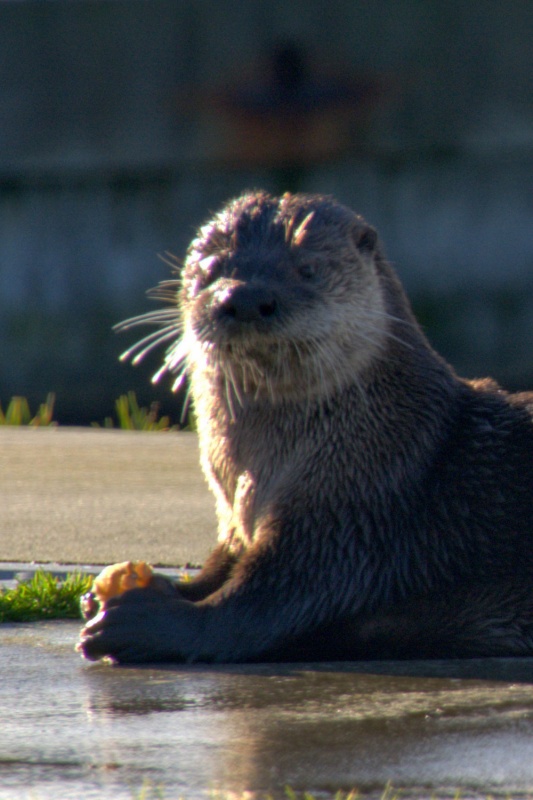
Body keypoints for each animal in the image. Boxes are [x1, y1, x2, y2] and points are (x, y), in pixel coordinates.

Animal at [79, 190, 533, 663]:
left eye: (307, 268)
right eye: (212, 267)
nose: (245, 297)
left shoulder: (349, 518)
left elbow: (262, 603)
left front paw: (141, 621)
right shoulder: (240, 519)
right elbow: (222, 567)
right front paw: (125, 591)